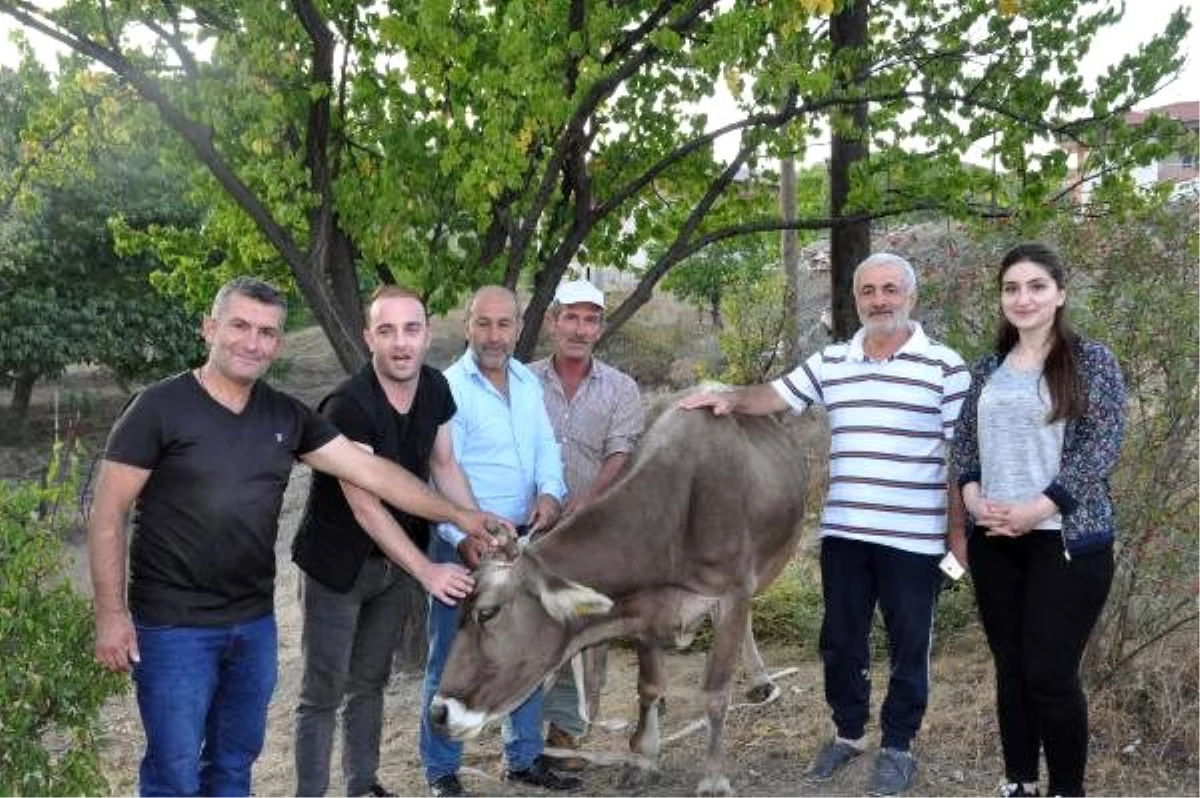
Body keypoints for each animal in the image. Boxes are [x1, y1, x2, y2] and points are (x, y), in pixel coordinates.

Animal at [429, 400, 825, 792]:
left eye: (488, 612)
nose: (438, 712)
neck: (672, 514)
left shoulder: (732, 592)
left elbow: (715, 692)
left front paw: (713, 777)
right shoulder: (645, 610)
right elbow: (648, 686)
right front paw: (643, 758)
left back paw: (760, 681)